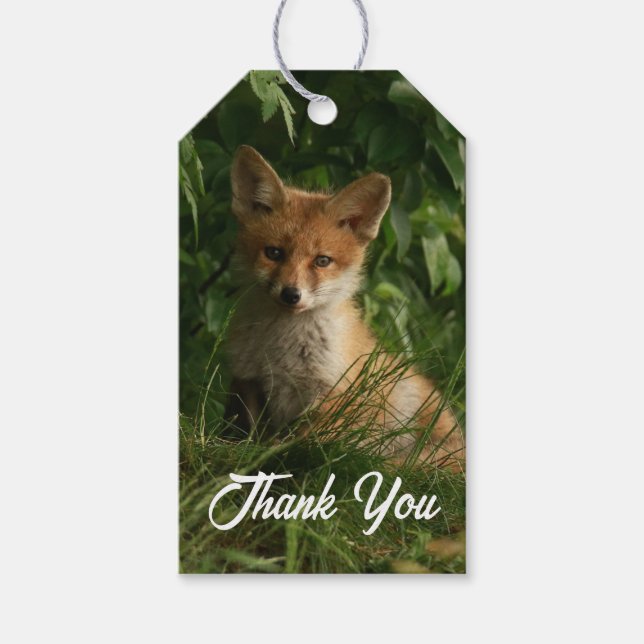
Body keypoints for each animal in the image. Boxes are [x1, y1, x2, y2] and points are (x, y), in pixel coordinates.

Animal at [224, 145, 464, 470]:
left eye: (322, 261)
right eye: (273, 253)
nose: (291, 294)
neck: (281, 349)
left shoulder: (334, 393)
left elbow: (303, 442)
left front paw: (275, 454)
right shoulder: (248, 378)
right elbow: (247, 432)